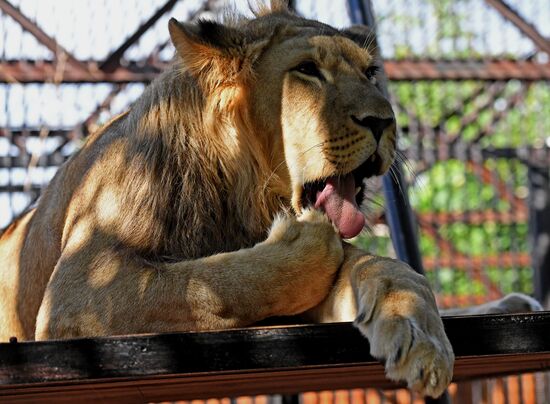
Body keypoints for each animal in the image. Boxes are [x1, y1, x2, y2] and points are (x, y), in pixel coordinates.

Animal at [0, 0, 544, 398]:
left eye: (371, 74)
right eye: (307, 70)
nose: (384, 121)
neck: (243, 192)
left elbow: (381, 267)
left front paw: (416, 327)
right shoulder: (81, 288)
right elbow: (201, 283)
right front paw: (304, 246)